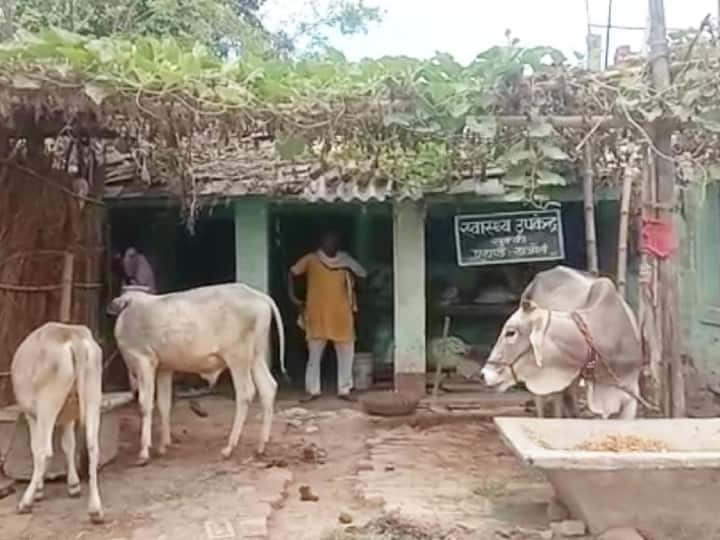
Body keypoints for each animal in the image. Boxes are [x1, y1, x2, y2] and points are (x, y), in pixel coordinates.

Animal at [10, 322, 104, 520]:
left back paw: (26, 502)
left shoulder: (32, 415)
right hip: (93, 396)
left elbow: (36, 449)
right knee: (92, 447)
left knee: (45, 452)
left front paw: (38, 490)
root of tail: (72, 333)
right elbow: (69, 445)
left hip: (47, 402)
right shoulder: (68, 417)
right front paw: (74, 485)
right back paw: (95, 510)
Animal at [109, 282, 284, 464]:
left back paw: (229, 448)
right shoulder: (164, 368)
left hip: (238, 357)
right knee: (268, 388)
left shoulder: (144, 361)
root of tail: (258, 296)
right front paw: (163, 445)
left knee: (245, 393)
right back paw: (261, 446)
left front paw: (144, 452)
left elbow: (145, 405)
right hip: (256, 357)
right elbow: (164, 404)